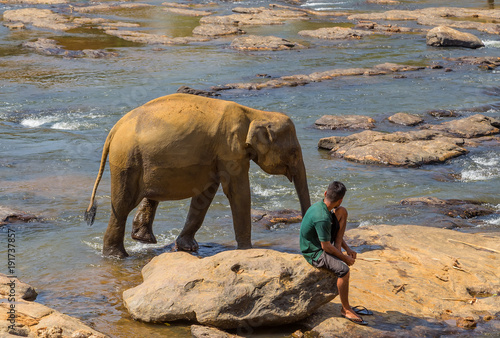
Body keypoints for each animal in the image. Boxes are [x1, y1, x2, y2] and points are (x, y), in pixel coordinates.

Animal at [87, 93, 310, 258]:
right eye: (293, 152)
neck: (255, 113)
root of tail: (115, 128)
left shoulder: (217, 156)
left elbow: (206, 193)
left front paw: (188, 248)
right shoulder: (230, 149)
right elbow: (237, 191)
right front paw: (247, 250)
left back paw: (142, 240)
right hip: (126, 160)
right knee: (123, 204)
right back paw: (117, 256)